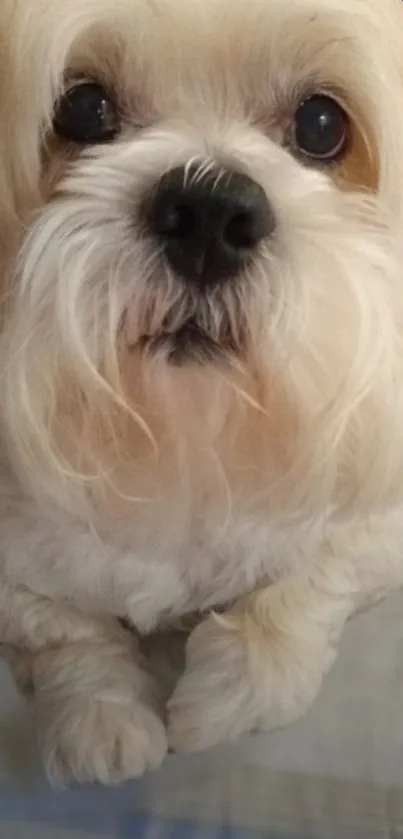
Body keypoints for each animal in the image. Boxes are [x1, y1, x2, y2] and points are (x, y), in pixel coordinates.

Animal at [0, 0, 403, 788]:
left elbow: (303, 588)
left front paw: (223, 699)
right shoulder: (16, 566)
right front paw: (101, 718)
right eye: (83, 109)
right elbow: (66, 630)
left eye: (321, 125)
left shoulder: (376, 521)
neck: (186, 437)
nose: (210, 214)